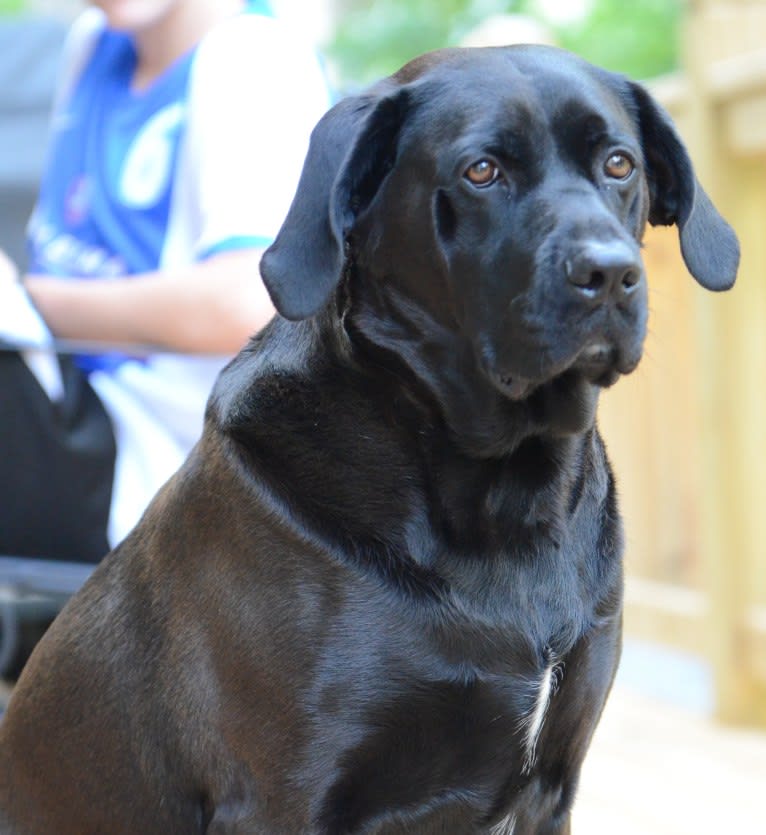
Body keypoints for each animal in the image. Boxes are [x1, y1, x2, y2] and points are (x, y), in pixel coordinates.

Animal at [1, 45, 744, 835]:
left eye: (619, 164)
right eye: (482, 171)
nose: (610, 273)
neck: (507, 495)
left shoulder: (552, 784)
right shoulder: (285, 797)